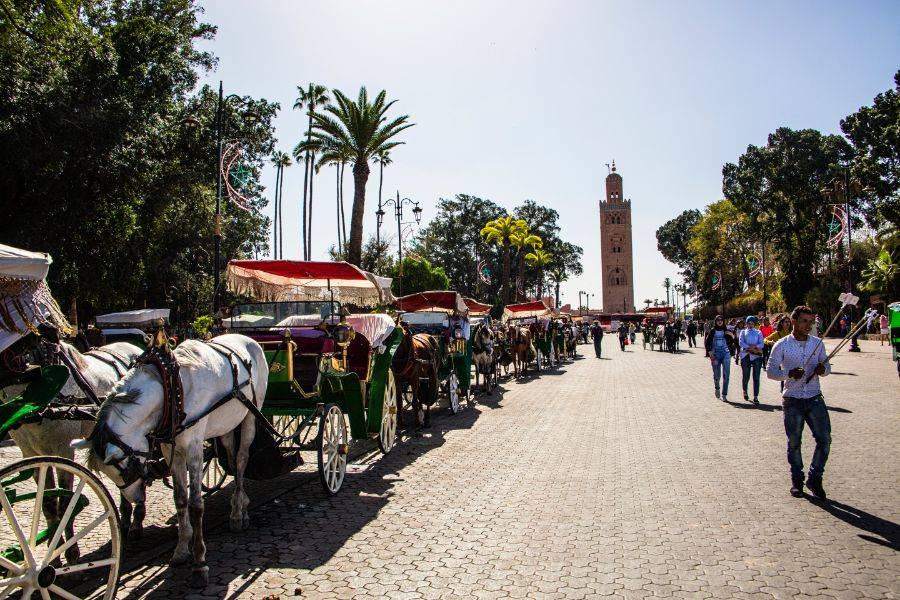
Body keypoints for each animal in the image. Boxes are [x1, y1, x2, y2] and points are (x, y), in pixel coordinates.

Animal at [73, 336, 268, 588]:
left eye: (122, 468)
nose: (136, 498)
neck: (172, 390)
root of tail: (248, 339)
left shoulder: (194, 448)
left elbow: (195, 505)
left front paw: (199, 562)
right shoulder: (170, 450)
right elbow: (180, 499)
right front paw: (181, 549)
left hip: (251, 413)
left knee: (243, 459)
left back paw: (238, 514)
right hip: (225, 424)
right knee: (233, 459)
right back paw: (239, 504)